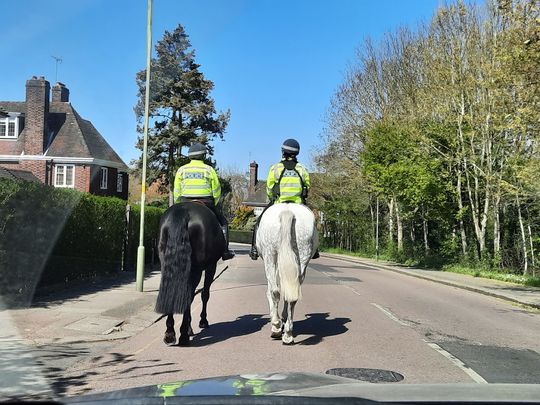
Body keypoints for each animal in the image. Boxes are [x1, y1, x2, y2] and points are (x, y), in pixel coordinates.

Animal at [155, 200, 225, 346]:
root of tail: (183, 212)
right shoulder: (211, 266)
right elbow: (205, 294)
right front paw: (201, 322)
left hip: (167, 265)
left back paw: (170, 333)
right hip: (196, 270)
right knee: (189, 295)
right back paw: (183, 335)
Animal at [255, 202, 318, 344]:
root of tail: (288, 212)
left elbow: (271, 291)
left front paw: (276, 320)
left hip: (270, 256)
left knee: (275, 291)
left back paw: (276, 327)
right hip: (302, 257)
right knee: (293, 297)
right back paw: (288, 334)